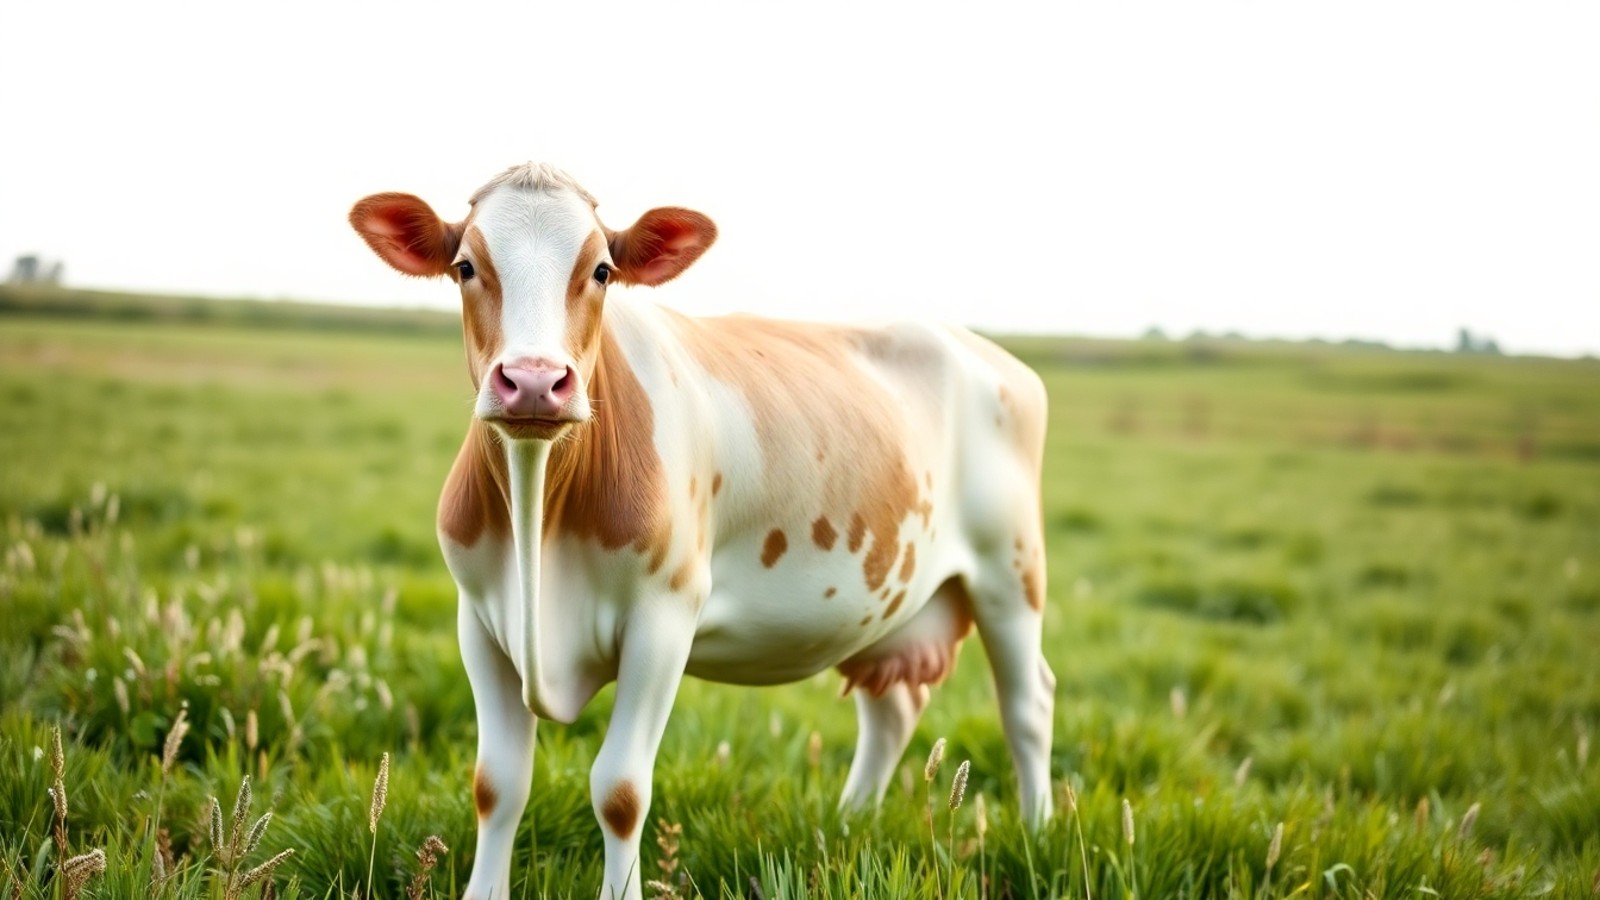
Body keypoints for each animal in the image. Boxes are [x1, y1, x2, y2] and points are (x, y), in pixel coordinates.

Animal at [349, 163, 1055, 900]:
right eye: (465, 266)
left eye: (602, 270)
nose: (535, 382)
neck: (540, 511)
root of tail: (978, 346)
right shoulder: (479, 619)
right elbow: (497, 785)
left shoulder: (664, 616)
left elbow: (620, 789)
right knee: (892, 710)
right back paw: (848, 823)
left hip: (1011, 572)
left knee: (1027, 705)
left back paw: (1037, 834)